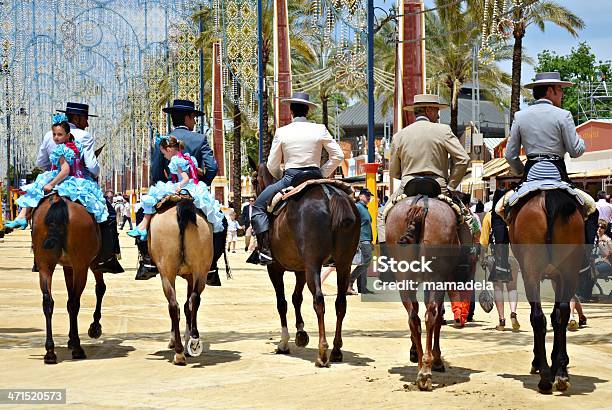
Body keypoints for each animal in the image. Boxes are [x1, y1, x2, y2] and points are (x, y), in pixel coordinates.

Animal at [31, 194, 106, 364]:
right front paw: (94, 327)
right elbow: (100, 288)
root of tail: (59, 201)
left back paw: (50, 352)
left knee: (48, 302)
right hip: (81, 267)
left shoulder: (68, 267)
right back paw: (78, 349)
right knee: (74, 303)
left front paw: (71, 339)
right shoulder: (91, 264)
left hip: (45, 265)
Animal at [149, 197, 214, 366]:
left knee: (173, 305)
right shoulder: (191, 275)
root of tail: (181, 204)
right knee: (194, 299)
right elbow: (188, 306)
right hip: (201, 269)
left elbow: (182, 307)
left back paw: (178, 352)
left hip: (167, 272)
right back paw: (194, 340)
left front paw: (176, 341)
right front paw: (189, 339)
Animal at [251, 162, 360, 366]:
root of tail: (329, 194)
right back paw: (336, 350)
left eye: (254, 180)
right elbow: (296, 298)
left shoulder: (275, 268)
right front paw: (301, 333)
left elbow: (282, 302)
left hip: (314, 265)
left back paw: (322, 352)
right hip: (343, 264)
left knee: (319, 300)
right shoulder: (301, 269)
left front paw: (284, 342)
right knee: (340, 303)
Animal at [384, 187, 466, 390]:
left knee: (413, 317)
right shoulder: (442, 281)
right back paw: (426, 369)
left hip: (404, 278)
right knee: (431, 314)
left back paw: (421, 365)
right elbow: (439, 317)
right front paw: (437, 359)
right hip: (436, 277)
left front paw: (415, 351)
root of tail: (421, 203)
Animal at [504, 189, 584, 394]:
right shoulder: (559, 277)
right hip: (569, 271)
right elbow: (557, 316)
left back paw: (545, 377)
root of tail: (549, 197)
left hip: (531, 271)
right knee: (561, 313)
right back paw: (561, 373)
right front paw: (558, 363)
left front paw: (541, 363)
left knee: (538, 317)